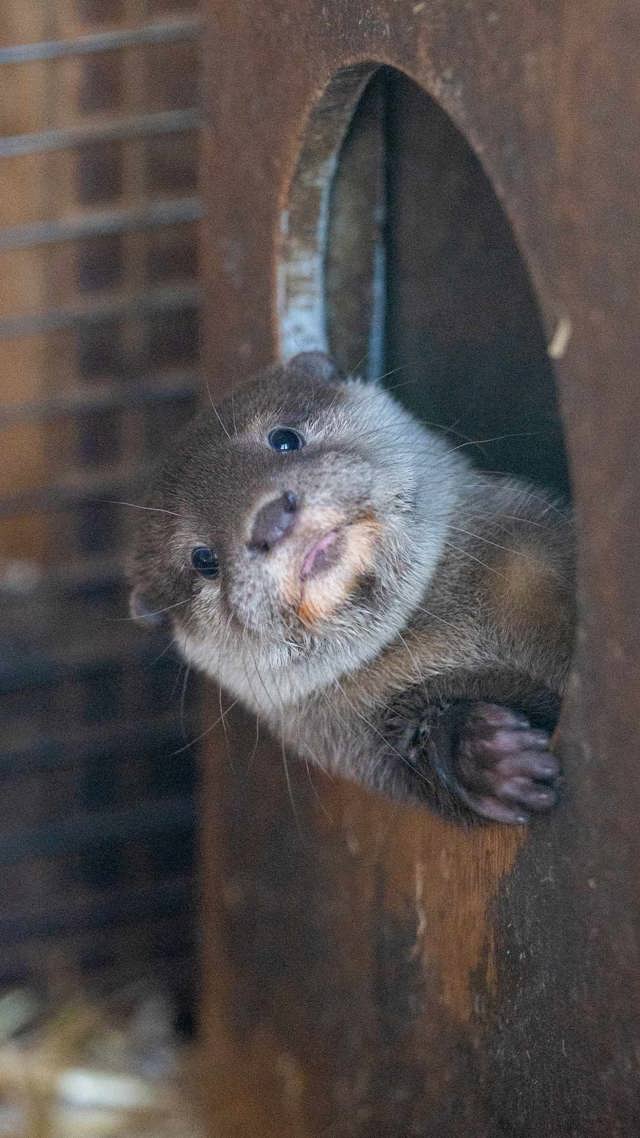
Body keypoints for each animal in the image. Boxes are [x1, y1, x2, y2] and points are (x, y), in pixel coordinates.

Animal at [126, 350, 569, 823]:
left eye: (284, 439)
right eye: (203, 560)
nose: (270, 520)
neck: (458, 626)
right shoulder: (363, 743)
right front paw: (486, 757)